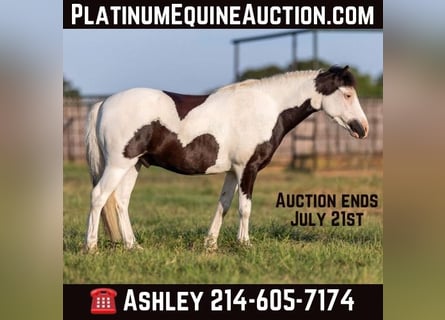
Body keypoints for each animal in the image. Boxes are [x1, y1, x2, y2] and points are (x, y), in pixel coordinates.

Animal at [83, 65, 368, 252]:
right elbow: (244, 208)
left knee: (121, 201)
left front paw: (210, 244)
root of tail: (103, 103)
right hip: (119, 164)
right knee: (98, 197)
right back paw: (91, 247)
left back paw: (133, 246)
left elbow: (224, 205)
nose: (363, 128)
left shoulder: (233, 171)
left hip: (134, 165)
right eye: (347, 95)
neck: (268, 107)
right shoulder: (247, 169)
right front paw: (245, 244)